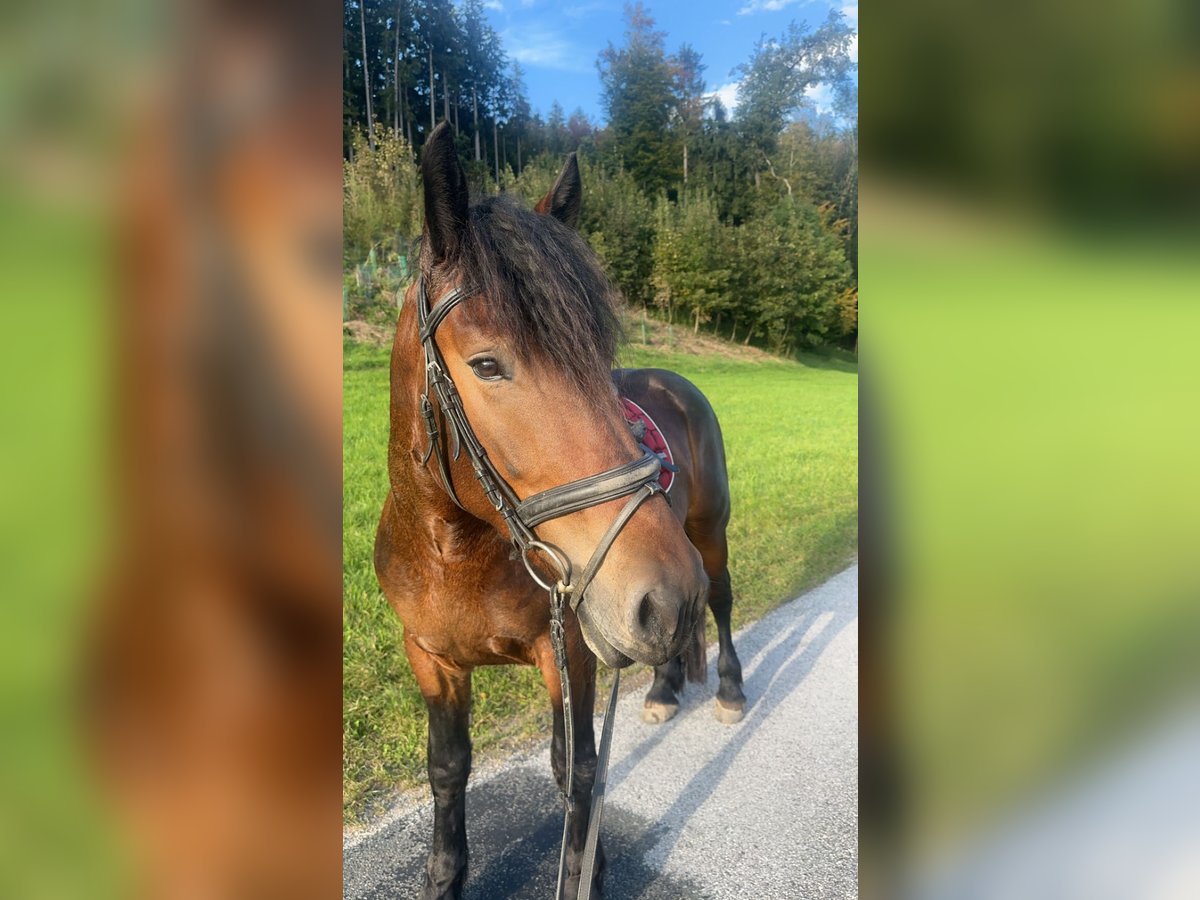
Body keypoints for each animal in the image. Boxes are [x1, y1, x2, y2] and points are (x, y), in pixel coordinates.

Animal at [376, 121, 739, 900]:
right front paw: (444, 877)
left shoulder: (567, 647)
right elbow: (446, 769)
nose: (666, 595)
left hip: (706, 539)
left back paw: (728, 688)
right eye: (486, 365)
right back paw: (663, 686)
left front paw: (585, 869)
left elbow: (576, 773)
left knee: (721, 603)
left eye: (600, 353)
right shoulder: (429, 658)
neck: (455, 551)